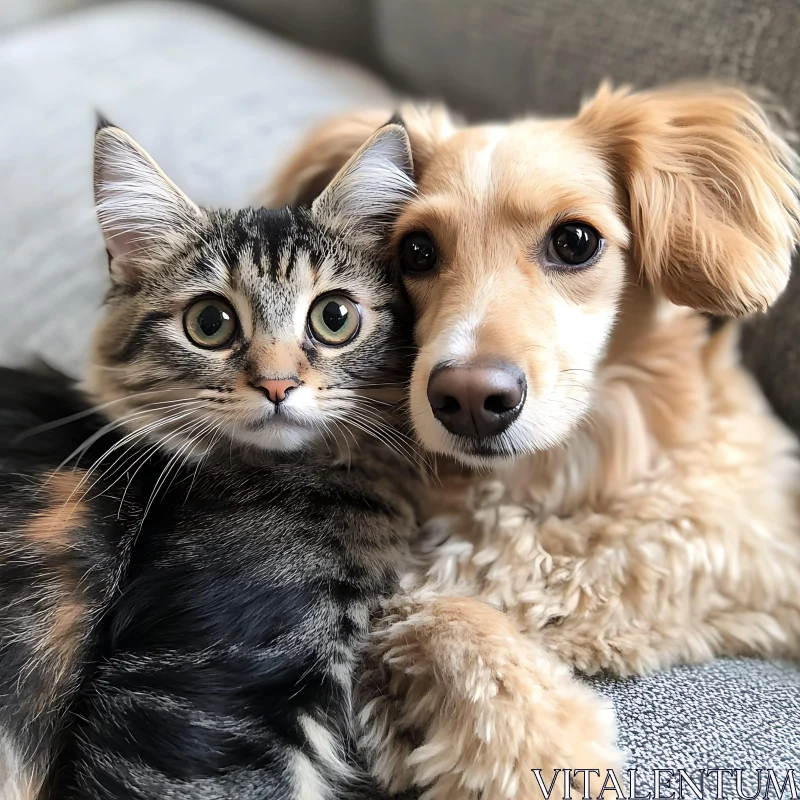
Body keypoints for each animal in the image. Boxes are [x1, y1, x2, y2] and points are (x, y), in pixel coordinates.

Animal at [266, 84, 800, 796]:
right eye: (415, 252)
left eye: (575, 241)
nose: (467, 399)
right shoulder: (393, 592)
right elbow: (448, 617)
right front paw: (539, 750)